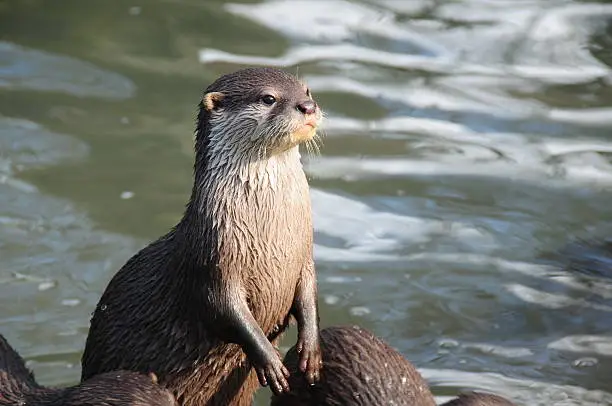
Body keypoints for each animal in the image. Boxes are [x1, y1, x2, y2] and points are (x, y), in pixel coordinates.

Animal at [81, 67, 326, 406]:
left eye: (307, 90)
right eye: (268, 98)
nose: (308, 107)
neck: (274, 236)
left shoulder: (303, 258)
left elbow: (308, 297)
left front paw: (312, 353)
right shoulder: (212, 261)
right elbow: (226, 311)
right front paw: (271, 363)